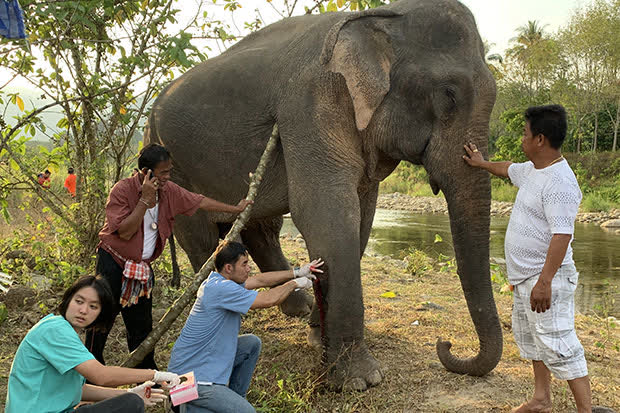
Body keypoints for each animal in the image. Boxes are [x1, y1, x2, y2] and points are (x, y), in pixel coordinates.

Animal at [147, 0, 504, 390]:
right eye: (449, 95)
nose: (446, 346)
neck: (385, 16)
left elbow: (361, 217)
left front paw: (318, 338)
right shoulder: (309, 104)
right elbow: (326, 214)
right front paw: (360, 380)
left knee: (260, 227)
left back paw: (298, 307)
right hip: (172, 161)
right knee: (201, 239)